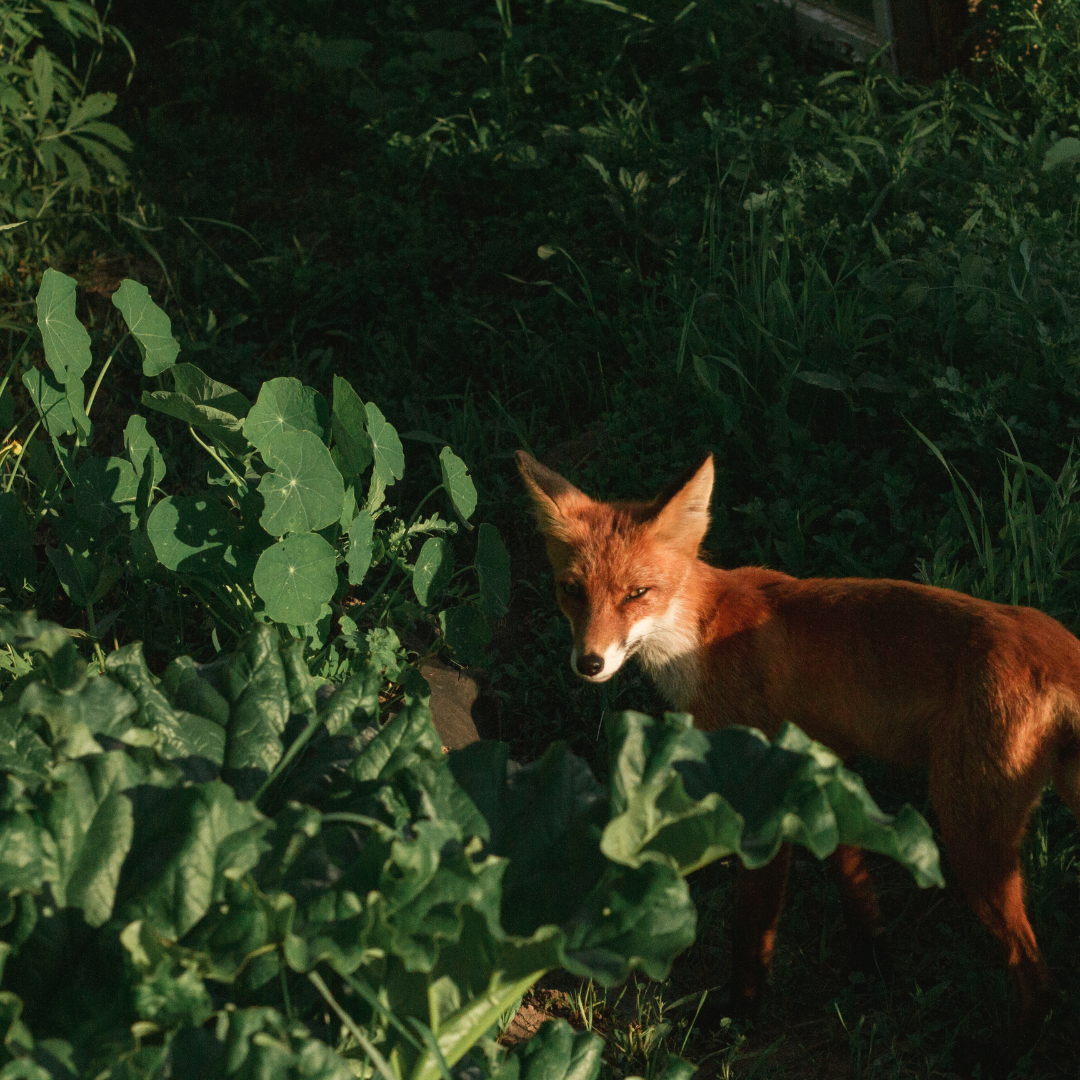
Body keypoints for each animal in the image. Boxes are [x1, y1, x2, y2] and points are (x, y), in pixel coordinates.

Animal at [511, 447, 1080, 1054]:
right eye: (573, 590)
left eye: (637, 594)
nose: (589, 663)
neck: (697, 639)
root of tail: (1058, 650)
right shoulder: (822, 766)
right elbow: (853, 878)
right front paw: (874, 962)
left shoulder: (762, 802)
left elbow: (750, 932)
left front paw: (738, 1019)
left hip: (970, 838)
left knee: (1039, 978)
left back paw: (1003, 1051)